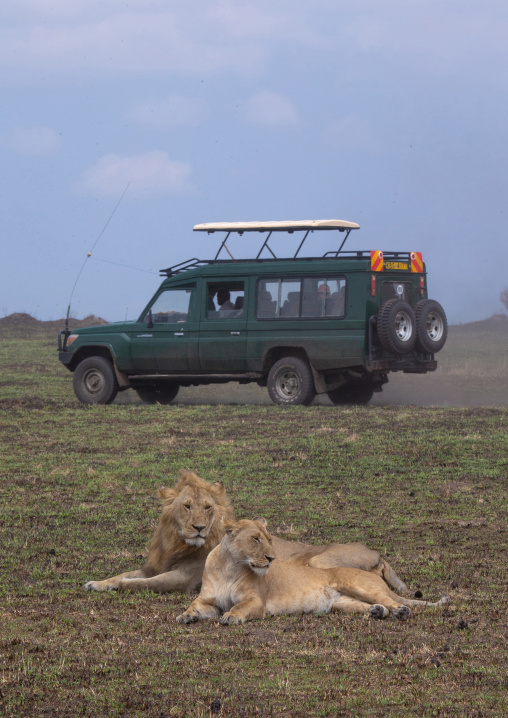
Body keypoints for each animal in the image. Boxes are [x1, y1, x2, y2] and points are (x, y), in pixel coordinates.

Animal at [176, 519, 448, 626]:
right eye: (255, 539)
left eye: (270, 539)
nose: (272, 558)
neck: (229, 567)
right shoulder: (208, 600)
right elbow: (194, 605)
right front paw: (185, 616)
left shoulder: (256, 602)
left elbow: (239, 607)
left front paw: (231, 617)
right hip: (341, 603)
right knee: (378, 607)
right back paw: (377, 612)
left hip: (357, 584)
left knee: (394, 602)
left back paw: (401, 611)